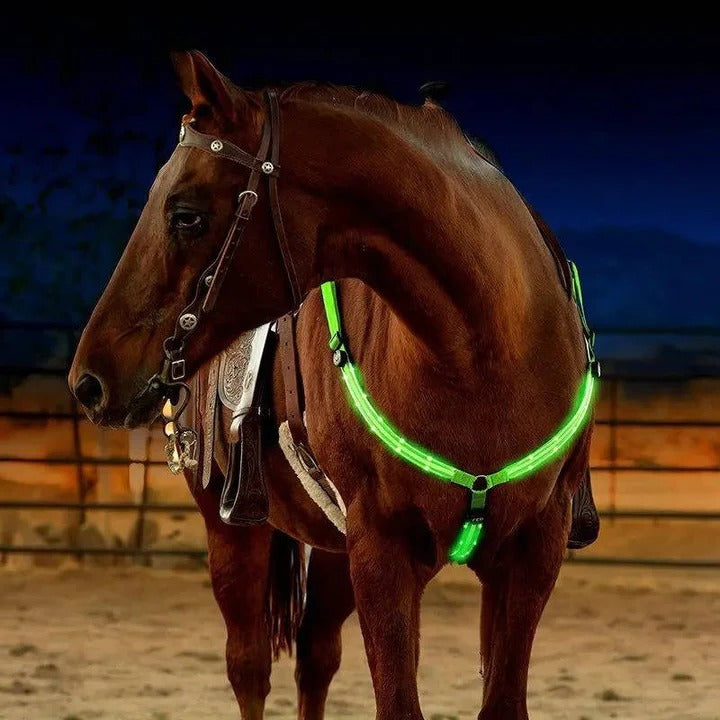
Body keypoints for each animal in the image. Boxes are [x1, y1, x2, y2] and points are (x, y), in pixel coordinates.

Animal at [69, 50, 596, 720]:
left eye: (186, 215)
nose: (89, 381)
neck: (483, 353)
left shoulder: (532, 549)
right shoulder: (382, 551)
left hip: (334, 553)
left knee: (315, 657)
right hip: (234, 530)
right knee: (249, 667)